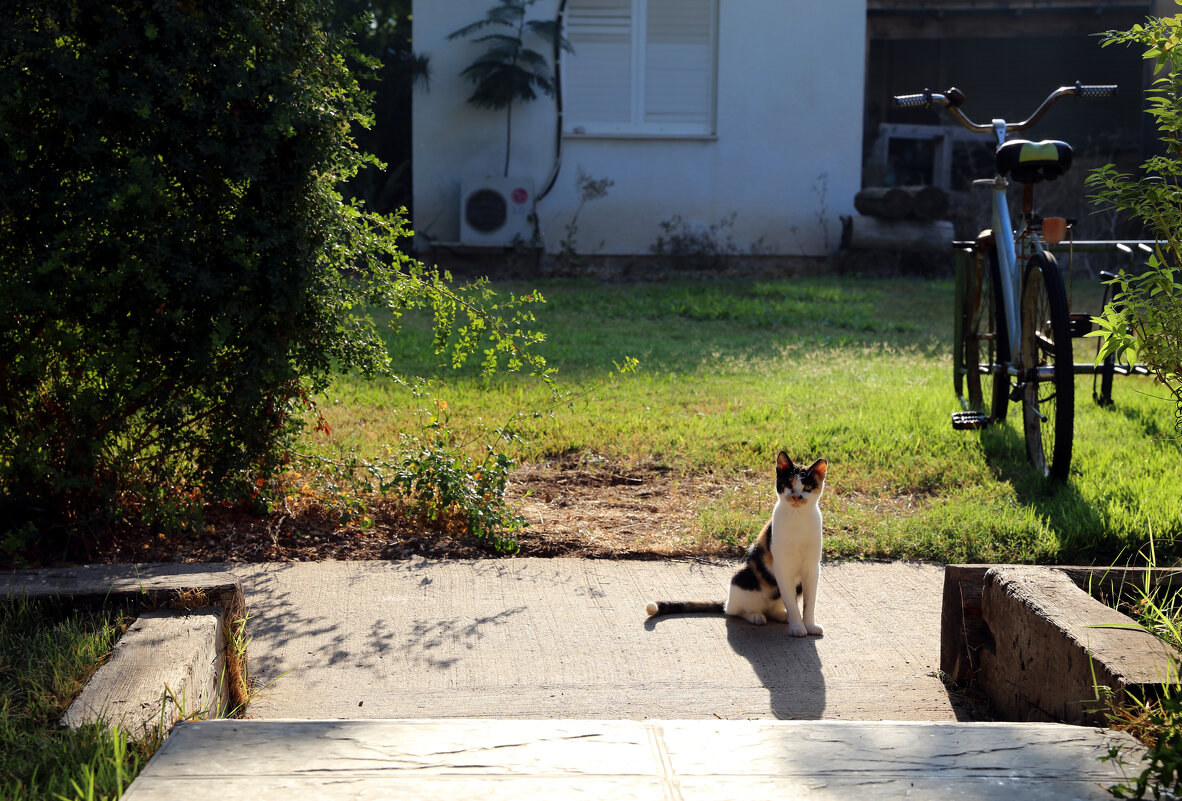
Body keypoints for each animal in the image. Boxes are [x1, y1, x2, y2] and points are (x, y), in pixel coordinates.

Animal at [647, 456, 822, 637]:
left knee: (773, 608)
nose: (797, 497)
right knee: (736, 611)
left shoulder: (812, 569)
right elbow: (792, 604)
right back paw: (755, 616)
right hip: (742, 576)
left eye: (807, 487)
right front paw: (797, 627)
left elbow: (809, 603)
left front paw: (809, 626)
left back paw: (781, 615)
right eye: (789, 485)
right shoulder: (783, 568)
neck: (798, 518)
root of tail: (728, 602)